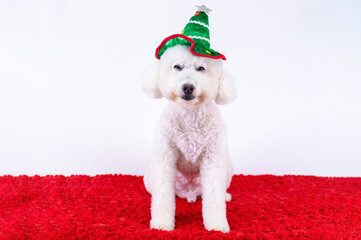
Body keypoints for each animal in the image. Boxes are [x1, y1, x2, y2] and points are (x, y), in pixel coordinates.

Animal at [141, 44, 236, 232]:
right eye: (177, 67)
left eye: (201, 68)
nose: (188, 87)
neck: (190, 114)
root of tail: (190, 194)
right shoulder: (165, 157)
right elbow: (162, 194)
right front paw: (162, 224)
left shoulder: (213, 158)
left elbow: (214, 195)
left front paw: (217, 225)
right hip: (149, 176)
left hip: (228, 167)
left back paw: (225, 195)